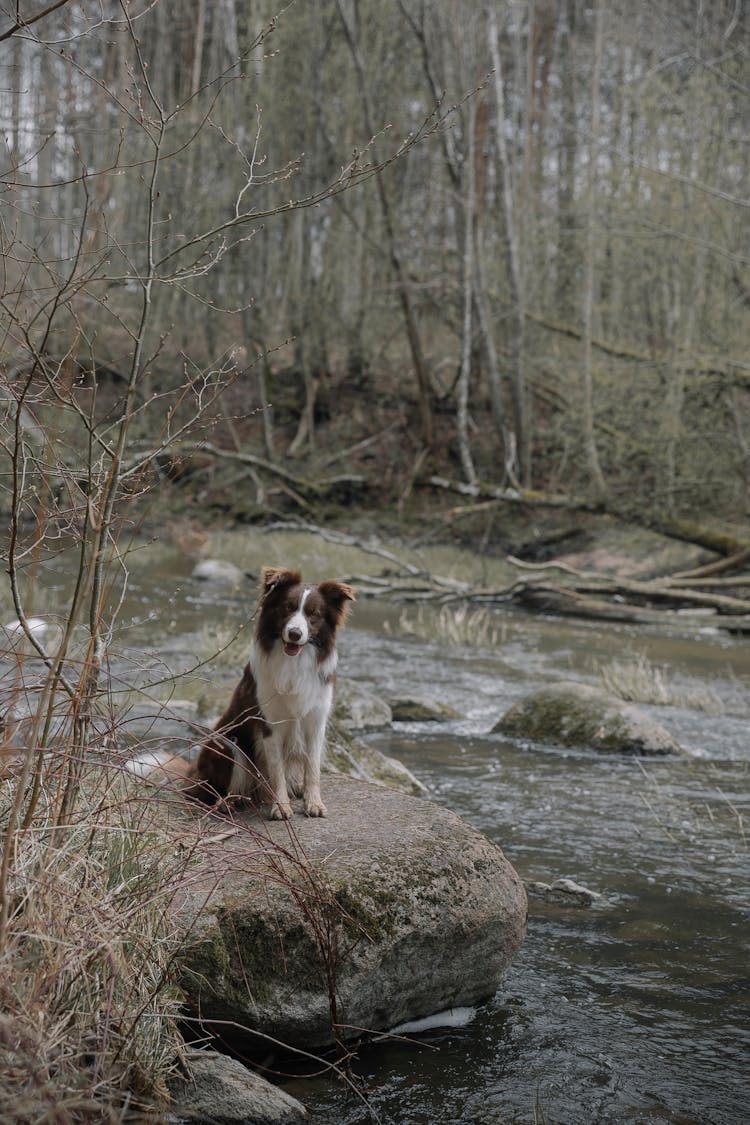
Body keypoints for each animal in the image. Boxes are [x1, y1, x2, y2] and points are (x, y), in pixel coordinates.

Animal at [130, 571, 357, 819]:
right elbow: (276, 769)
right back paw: (227, 803)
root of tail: (192, 773)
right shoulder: (269, 723)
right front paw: (280, 806)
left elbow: (313, 767)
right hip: (230, 746)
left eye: (313, 614)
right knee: (210, 793)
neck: (295, 662)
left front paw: (313, 803)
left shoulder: (315, 719)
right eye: (287, 607)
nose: (295, 634)